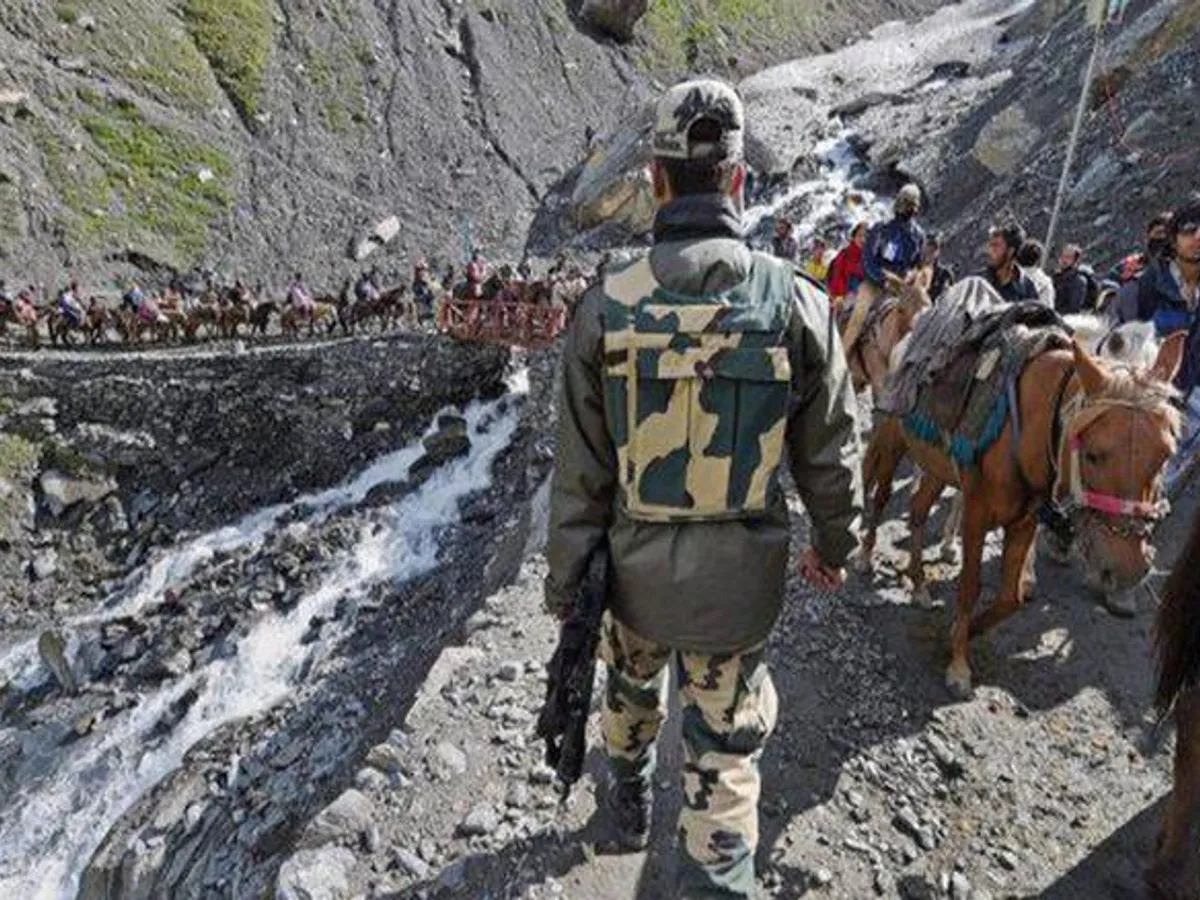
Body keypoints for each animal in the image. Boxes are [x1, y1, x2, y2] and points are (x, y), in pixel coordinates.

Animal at [862, 299, 1185, 698]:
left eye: (1166, 454)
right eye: (1093, 454)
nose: (1129, 569)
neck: (1026, 426)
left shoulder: (1024, 521)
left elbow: (1009, 599)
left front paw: (964, 633)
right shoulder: (976, 513)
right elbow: (969, 587)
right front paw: (958, 665)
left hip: (936, 466)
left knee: (919, 509)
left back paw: (920, 584)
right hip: (893, 440)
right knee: (881, 496)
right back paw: (864, 556)